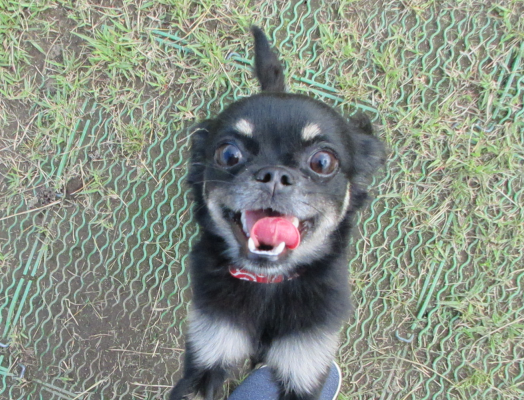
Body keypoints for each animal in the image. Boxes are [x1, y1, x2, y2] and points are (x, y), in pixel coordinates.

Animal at [169, 26, 385, 400]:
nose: (274, 175)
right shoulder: (207, 352)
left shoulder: (305, 364)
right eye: (229, 154)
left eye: (323, 162)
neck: (268, 284)